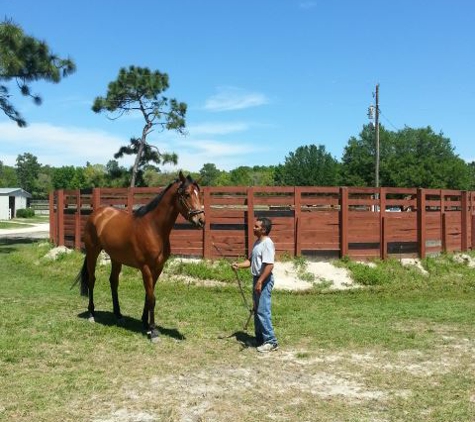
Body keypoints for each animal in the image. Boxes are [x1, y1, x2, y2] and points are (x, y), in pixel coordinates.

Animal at [75, 170, 205, 342]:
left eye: (199, 194)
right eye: (186, 194)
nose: (201, 220)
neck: (153, 228)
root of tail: (97, 214)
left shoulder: (158, 268)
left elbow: (148, 296)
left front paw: (145, 324)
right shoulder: (146, 268)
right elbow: (151, 298)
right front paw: (153, 331)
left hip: (116, 258)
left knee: (113, 282)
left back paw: (118, 315)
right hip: (92, 252)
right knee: (92, 280)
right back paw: (91, 313)